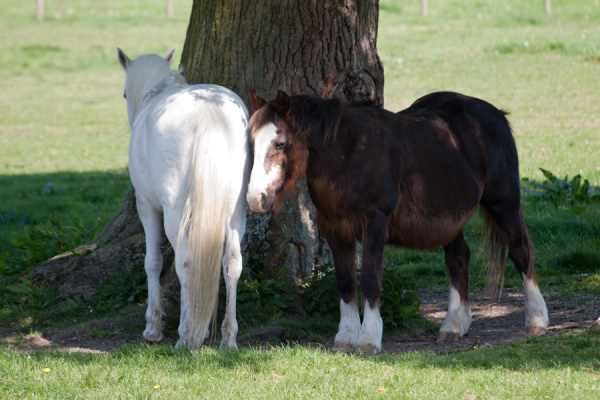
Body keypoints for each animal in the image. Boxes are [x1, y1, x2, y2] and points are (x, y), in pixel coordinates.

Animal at [117, 49, 251, 350]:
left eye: (124, 94)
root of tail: (209, 111)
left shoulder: (147, 206)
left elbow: (153, 262)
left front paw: (153, 327)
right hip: (236, 210)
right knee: (232, 263)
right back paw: (228, 338)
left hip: (176, 211)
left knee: (186, 263)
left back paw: (186, 335)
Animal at [245, 90, 548, 354]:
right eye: (252, 144)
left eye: (280, 143)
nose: (255, 199)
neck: (349, 153)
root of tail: (495, 113)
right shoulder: (335, 228)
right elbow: (345, 282)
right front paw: (345, 337)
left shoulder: (374, 223)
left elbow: (369, 280)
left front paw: (369, 339)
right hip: (451, 218)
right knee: (459, 258)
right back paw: (453, 325)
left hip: (504, 204)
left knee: (521, 252)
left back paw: (536, 320)